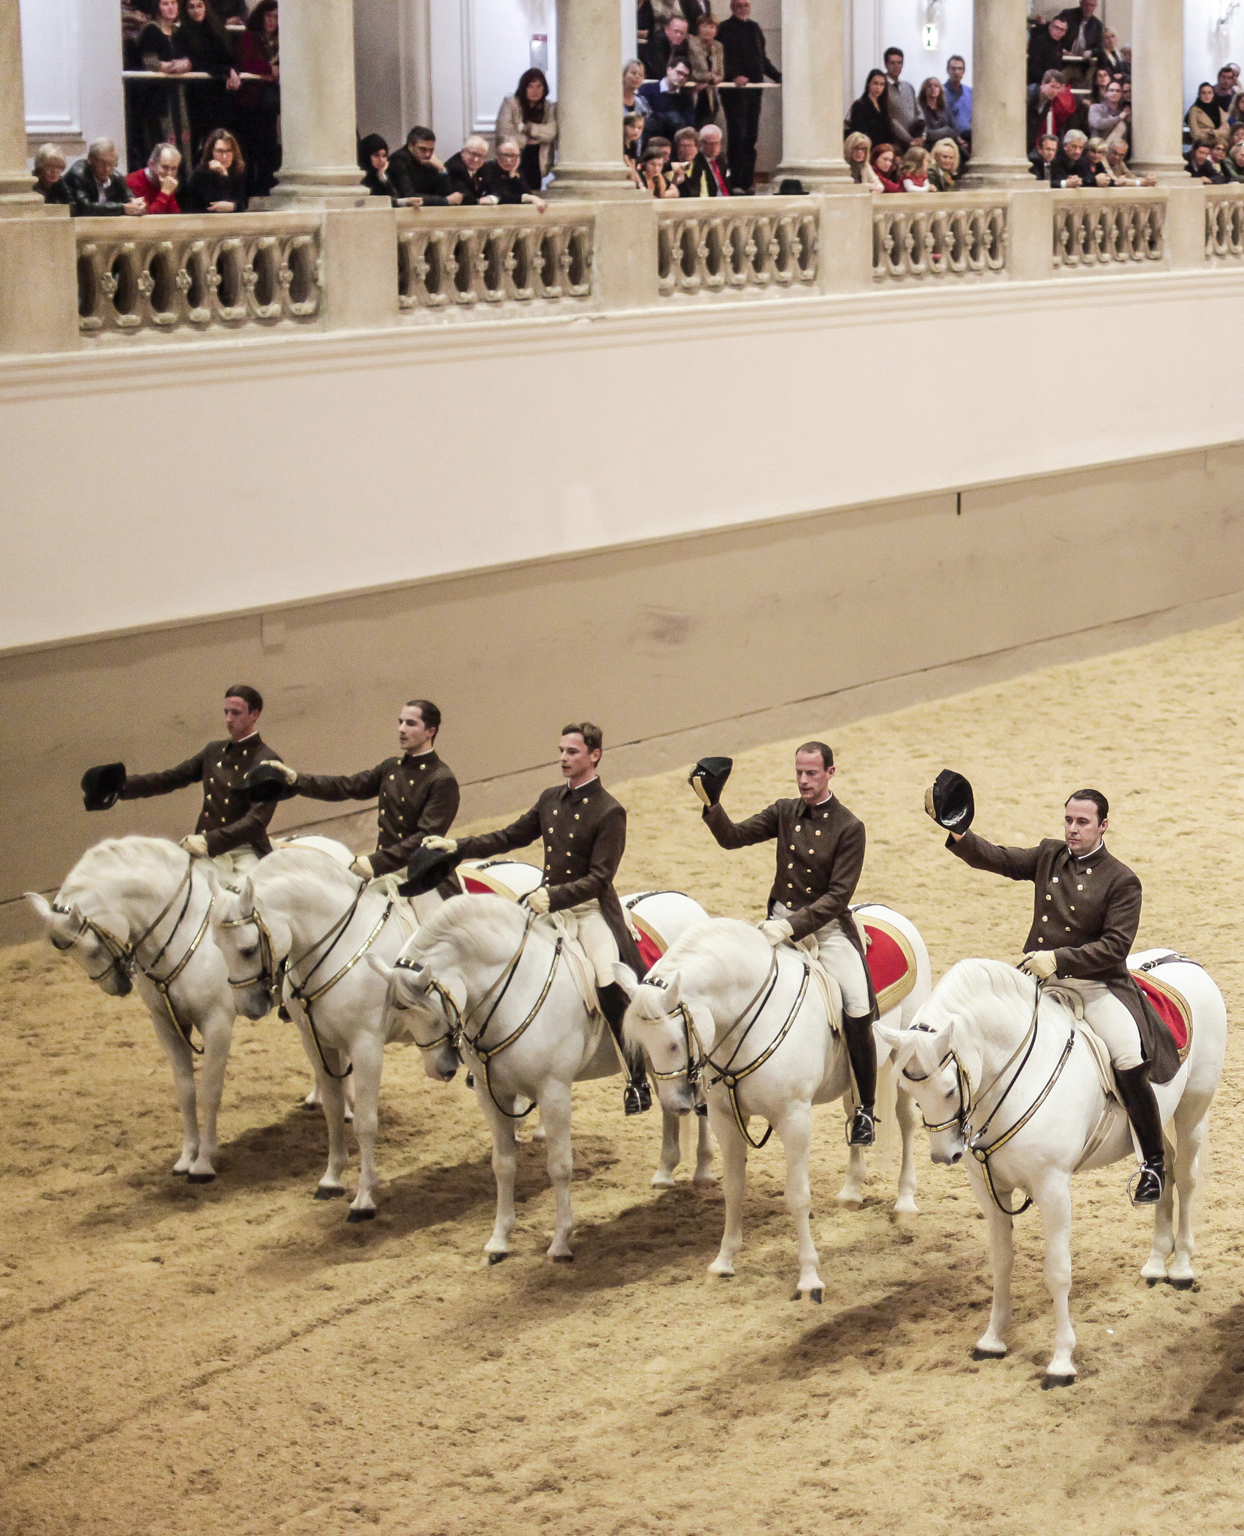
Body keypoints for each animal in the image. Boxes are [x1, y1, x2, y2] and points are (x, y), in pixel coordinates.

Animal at [26, 841, 234, 1173]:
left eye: (92, 949)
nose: (116, 987)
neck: (182, 931)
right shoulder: (166, 1025)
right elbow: (186, 1091)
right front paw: (186, 1157)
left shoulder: (217, 1022)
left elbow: (210, 1090)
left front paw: (203, 1162)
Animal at [205, 847, 414, 1216]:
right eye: (217, 945)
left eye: (247, 949)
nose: (248, 1007)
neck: (342, 951)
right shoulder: (318, 1045)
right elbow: (332, 1110)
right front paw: (331, 1180)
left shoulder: (367, 1048)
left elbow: (365, 1122)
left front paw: (364, 1198)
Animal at [370, 897, 706, 1265]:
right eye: (401, 1011)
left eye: (429, 1008)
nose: (439, 1069)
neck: (515, 990)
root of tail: (684, 903)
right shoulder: (492, 1094)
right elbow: (502, 1164)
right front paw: (499, 1240)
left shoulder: (553, 1092)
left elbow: (559, 1166)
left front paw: (560, 1242)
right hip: (657, 1058)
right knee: (671, 1104)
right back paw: (664, 1170)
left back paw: (702, 1169)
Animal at [614, 903, 927, 1302]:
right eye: (641, 1043)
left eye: (673, 1043)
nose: (678, 1104)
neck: (744, 1021)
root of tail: (884, 910)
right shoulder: (724, 1118)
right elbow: (734, 1187)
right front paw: (723, 1262)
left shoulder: (794, 1119)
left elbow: (797, 1196)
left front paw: (809, 1279)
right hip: (853, 1081)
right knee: (856, 1111)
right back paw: (852, 1190)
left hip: (904, 1061)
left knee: (907, 1121)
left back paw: (905, 1202)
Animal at [878, 952, 1228, 1388]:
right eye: (911, 1092)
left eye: (949, 1089)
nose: (946, 1156)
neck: (1011, 1080)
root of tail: (1183, 960)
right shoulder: (989, 1189)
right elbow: (1001, 1261)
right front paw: (992, 1339)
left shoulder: (1053, 1188)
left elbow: (1058, 1271)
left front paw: (1061, 1361)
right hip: (1160, 1119)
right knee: (1163, 1171)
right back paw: (1155, 1262)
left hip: (1194, 1107)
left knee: (1187, 1176)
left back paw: (1180, 1268)